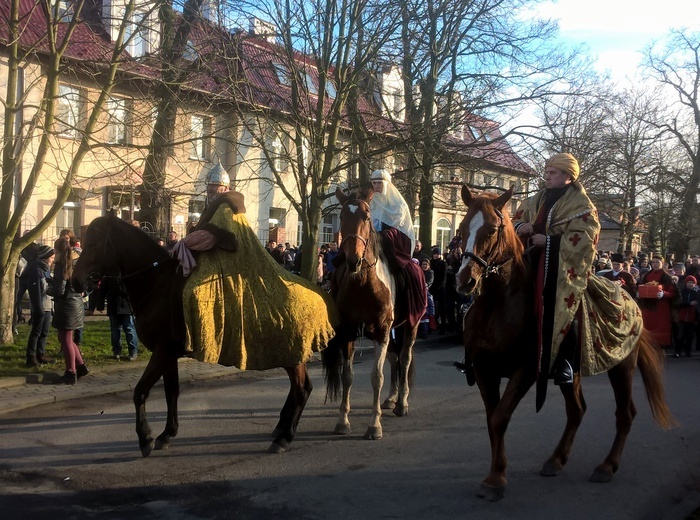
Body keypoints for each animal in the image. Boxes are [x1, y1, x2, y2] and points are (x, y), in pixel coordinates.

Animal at [72, 203, 314, 456]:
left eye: (94, 243)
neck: (157, 283)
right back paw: (281, 427)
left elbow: (140, 391)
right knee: (301, 388)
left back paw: (284, 437)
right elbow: (171, 391)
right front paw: (167, 433)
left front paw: (145, 438)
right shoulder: (168, 354)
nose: (75, 281)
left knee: (302, 389)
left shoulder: (162, 351)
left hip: (292, 353)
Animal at [324, 186, 422, 438]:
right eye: (341, 217)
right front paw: (342, 421)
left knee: (405, 358)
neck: (364, 283)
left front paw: (374, 424)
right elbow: (347, 376)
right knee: (395, 358)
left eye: (367, 217)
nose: (353, 260)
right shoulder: (349, 330)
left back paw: (402, 403)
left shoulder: (381, 330)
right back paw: (391, 398)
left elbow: (376, 376)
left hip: (411, 325)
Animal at [456, 185, 676, 502]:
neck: (498, 306)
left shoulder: (526, 371)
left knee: (625, 414)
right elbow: (492, 420)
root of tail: (630, 297)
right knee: (577, 410)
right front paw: (495, 473)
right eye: (461, 228)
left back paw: (607, 466)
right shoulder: (485, 370)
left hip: (622, 368)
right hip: (572, 373)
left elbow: (499, 418)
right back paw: (556, 460)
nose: (465, 281)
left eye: (493, 229)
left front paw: (496, 479)